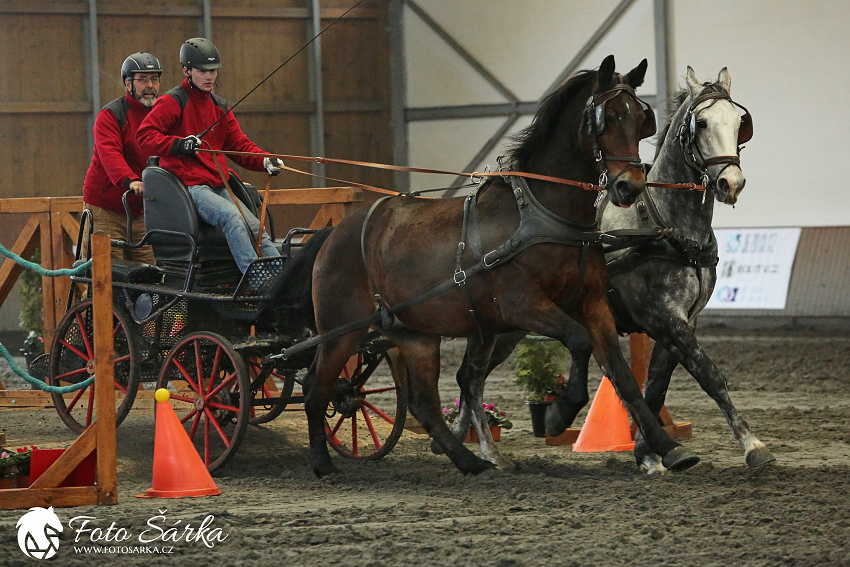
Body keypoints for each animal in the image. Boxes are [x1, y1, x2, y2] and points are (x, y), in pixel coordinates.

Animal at [284, 55, 696, 478]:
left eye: (641, 118)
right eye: (608, 118)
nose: (630, 186)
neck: (546, 214)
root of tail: (334, 233)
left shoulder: (593, 303)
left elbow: (623, 376)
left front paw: (668, 448)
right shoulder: (522, 306)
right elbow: (579, 340)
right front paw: (559, 415)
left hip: (416, 335)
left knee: (424, 403)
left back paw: (468, 461)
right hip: (340, 330)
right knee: (316, 388)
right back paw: (322, 463)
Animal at [454, 65, 772, 474]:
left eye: (738, 123)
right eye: (700, 123)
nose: (731, 183)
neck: (665, 225)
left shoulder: (682, 320)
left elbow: (655, 387)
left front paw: (649, 453)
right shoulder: (663, 317)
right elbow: (710, 375)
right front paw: (753, 446)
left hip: (510, 328)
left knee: (472, 377)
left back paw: (464, 441)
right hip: (501, 324)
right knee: (472, 376)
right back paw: (474, 448)